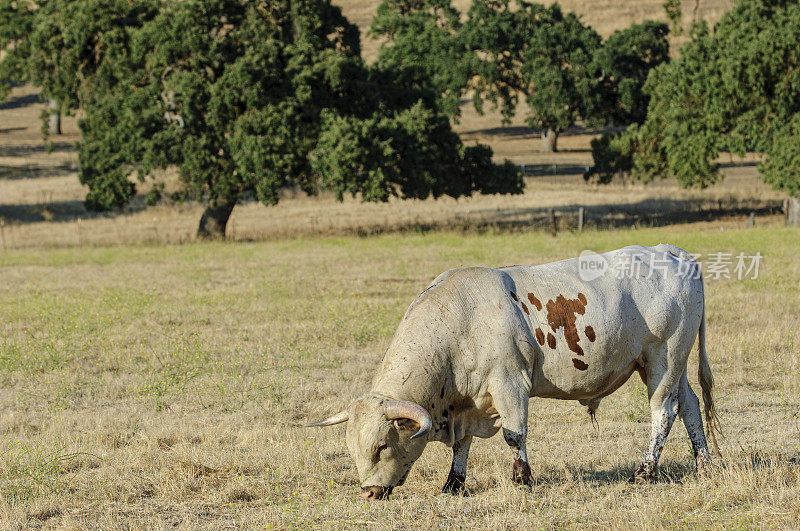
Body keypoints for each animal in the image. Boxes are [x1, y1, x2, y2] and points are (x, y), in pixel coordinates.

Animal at [306, 243, 720, 500]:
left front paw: (523, 479)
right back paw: (704, 465)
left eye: (381, 446)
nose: (369, 492)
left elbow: (513, 435)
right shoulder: (466, 402)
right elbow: (462, 444)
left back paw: (645, 471)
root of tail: (671, 252)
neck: (458, 321)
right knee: (690, 407)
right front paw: (453, 483)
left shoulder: (510, 384)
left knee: (663, 412)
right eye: (353, 448)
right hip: (672, 365)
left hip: (663, 358)